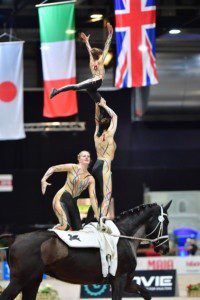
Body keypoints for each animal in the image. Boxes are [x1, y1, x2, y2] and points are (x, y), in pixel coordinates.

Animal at [0, 200, 172, 298]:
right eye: (166, 222)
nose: (165, 248)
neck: (124, 236)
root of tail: (16, 238)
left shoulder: (127, 282)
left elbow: (146, 293)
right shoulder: (119, 280)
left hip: (32, 280)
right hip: (19, 281)